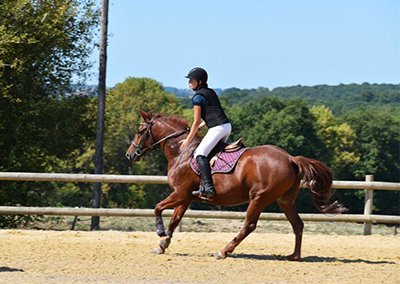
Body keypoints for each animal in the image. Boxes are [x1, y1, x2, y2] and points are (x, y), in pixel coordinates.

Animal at [126, 110, 346, 260]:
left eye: (139, 131)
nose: (129, 155)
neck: (182, 151)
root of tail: (291, 158)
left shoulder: (180, 193)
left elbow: (158, 208)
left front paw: (160, 233)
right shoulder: (185, 197)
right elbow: (175, 219)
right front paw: (163, 243)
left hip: (259, 198)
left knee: (249, 225)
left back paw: (223, 251)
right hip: (285, 200)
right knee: (297, 224)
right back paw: (294, 256)